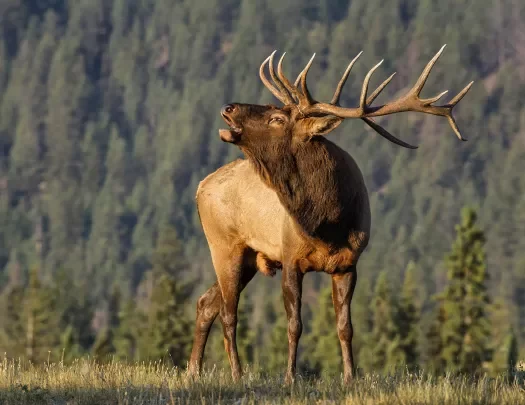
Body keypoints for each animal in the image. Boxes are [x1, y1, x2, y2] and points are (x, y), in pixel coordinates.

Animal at [187, 45, 470, 382]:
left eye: (276, 116)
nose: (228, 107)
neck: (328, 223)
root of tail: (200, 187)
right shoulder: (290, 258)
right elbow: (294, 325)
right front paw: (290, 377)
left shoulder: (348, 264)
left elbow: (345, 326)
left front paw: (350, 377)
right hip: (224, 245)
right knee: (229, 313)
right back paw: (237, 374)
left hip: (248, 258)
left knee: (207, 303)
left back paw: (193, 371)